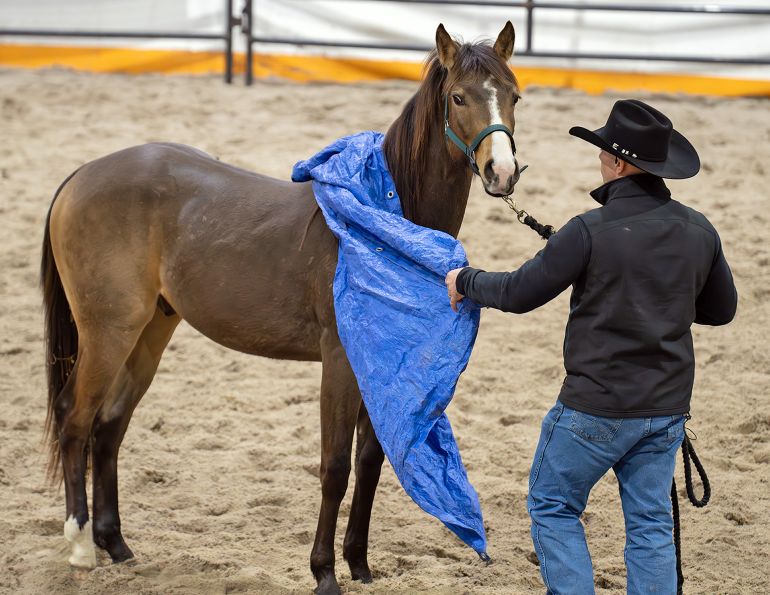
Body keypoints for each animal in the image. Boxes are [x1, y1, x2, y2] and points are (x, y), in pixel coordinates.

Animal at [41, 22, 521, 594]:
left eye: (513, 95)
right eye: (459, 97)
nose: (501, 172)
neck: (377, 224)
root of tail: (82, 175)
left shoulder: (379, 364)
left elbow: (370, 462)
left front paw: (359, 565)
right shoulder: (340, 364)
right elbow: (335, 468)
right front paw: (324, 573)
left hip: (149, 332)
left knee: (109, 425)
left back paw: (116, 545)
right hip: (108, 331)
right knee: (75, 417)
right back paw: (79, 547)